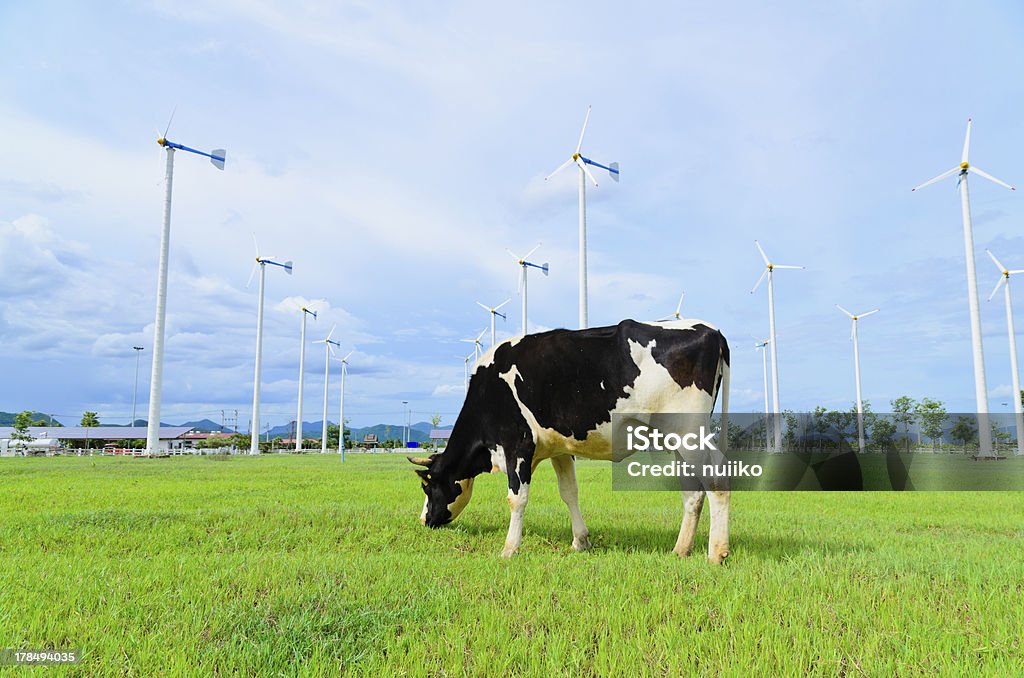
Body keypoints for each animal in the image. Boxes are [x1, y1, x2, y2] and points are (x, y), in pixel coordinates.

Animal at [407, 321, 729, 565]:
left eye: (427, 487)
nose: (424, 521)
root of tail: (711, 330)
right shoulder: (558, 449)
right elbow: (569, 493)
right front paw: (580, 541)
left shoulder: (518, 445)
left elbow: (516, 498)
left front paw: (509, 549)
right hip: (678, 440)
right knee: (692, 492)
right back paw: (681, 550)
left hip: (689, 434)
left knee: (716, 480)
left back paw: (716, 554)